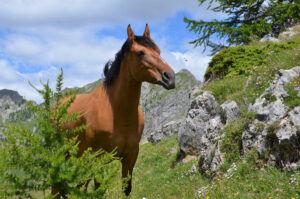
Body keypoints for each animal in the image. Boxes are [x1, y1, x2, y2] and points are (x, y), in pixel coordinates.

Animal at [55, 24, 175, 196]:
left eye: (158, 51)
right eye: (140, 52)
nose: (170, 77)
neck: (118, 114)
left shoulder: (130, 157)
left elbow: (125, 188)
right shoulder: (98, 157)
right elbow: (97, 188)